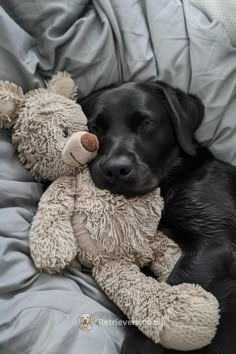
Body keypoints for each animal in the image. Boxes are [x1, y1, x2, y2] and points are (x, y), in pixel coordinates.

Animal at [80, 81, 236, 352]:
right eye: (95, 128)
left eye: (146, 123)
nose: (115, 170)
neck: (171, 181)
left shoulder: (216, 241)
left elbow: (173, 289)